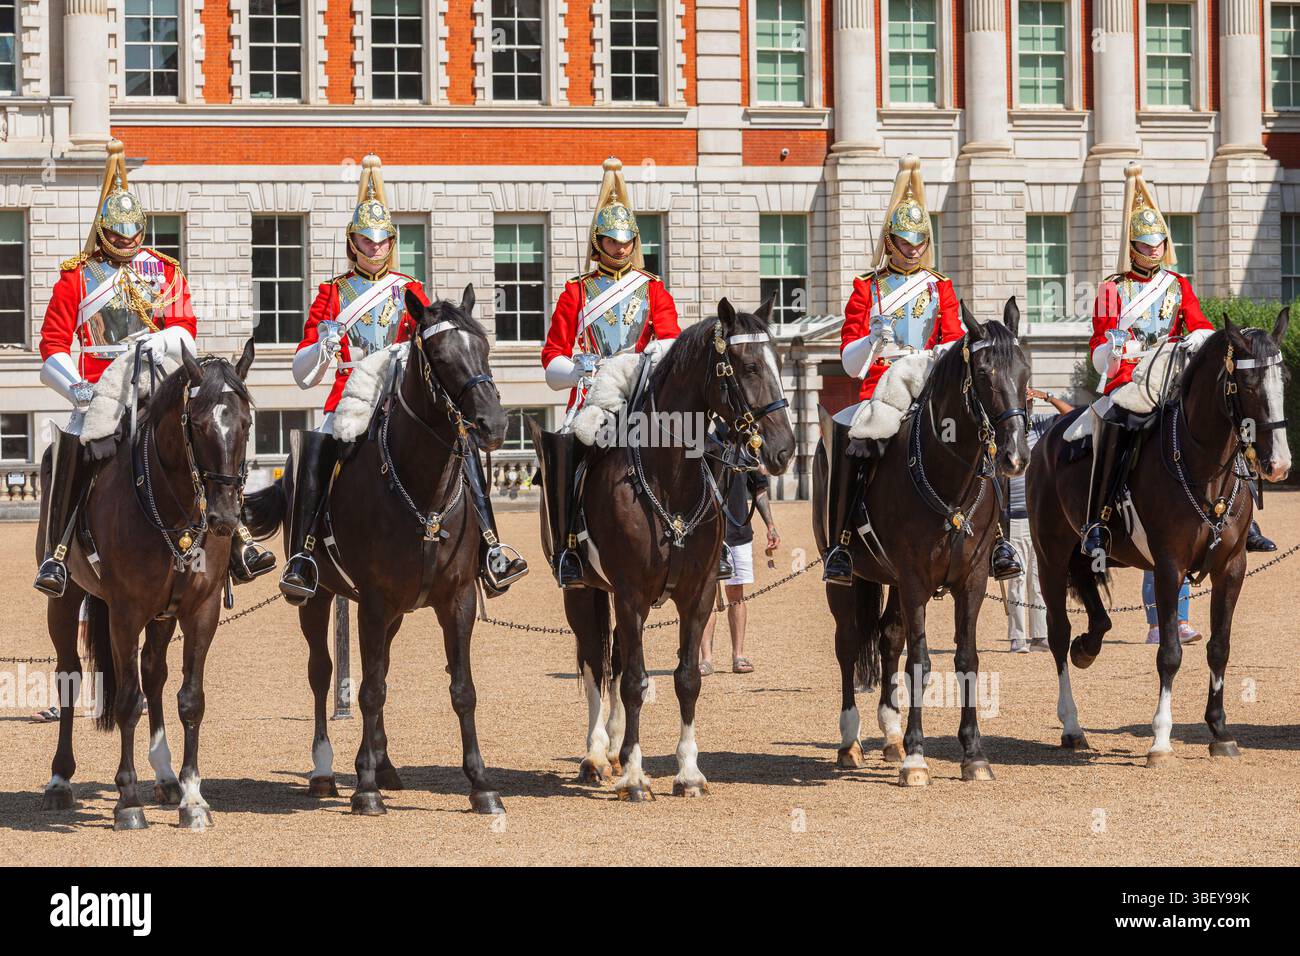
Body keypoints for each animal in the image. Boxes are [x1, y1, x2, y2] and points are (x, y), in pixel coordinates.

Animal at [37, 339, 257, 830]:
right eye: (197, 423)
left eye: (247, 422)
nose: (224, 518)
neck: (172, 504)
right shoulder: (125, 612)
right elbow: (126, 700)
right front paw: (127, 800)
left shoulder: (199, 610)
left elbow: (189, 699)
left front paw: (192, 797)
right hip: (66, 601)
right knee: (70, 674)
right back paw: (60, 779)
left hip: (162, 616)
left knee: (154, 674)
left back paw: (165, 775)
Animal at [244, 285, 509, 815]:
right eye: (441, 357)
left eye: (485, 347)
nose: (492, 425)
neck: (424, 494)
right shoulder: (372, 601)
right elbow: (367, 689)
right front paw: (364, 788)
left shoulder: (457, 601)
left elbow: (461, 689)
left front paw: (481, 784)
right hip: (320, 599)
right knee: (324, 673)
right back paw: (327, 771)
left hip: (395, 613)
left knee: (379, 666)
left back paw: (382, 765)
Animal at [530, 298, 795, 801]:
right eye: (748, 365)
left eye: (780, 360)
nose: (785, 450)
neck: (667, 480)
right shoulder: (631, 594)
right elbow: (634, 682)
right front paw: (636, 777)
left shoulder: (699, 594)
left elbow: (685, 679)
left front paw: (687, 772)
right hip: (583, 590)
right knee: (595, 664)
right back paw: (597, 756)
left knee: (613, 662)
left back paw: (615, 750)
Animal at [812, 300, 1031, 786]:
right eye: (984, 373)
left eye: (1026, 370)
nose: (1015, 456)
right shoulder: (914, 579)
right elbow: (921, 660)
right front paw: (916, 756)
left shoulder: (972, 578)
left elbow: (966, 659)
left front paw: (973, 754)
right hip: (848, 579)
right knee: (849, 642)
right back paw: (850, 741)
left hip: (890, 580)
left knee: (889, 639)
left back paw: (890, 734)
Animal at [1027, 312, 1292, 764]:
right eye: (1247, 384)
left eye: (1284, 377)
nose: (1279, 464)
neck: (1205, 467)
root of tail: (1046, 435)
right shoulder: (1169, 566)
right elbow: (1169, 653)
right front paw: (1161, 738)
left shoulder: (1231, 568)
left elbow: (1219, 646)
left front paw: (1220, 731)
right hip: (1051, 557)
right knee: (1058, 633)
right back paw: (1072, 723)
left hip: (1087, 552)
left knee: (1097, 615)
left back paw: (1087, 647)